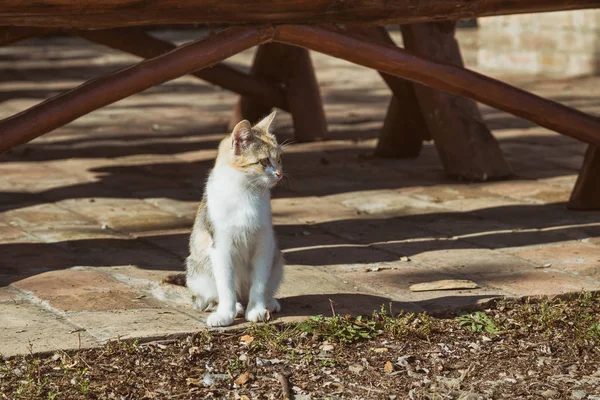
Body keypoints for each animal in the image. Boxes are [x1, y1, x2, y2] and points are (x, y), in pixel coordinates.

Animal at [165, 111, 284, 326]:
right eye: (264, 162)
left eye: (279, 160)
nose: (279, 174)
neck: (246, 193)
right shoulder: (220, 246)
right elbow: (226, 285)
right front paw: (226, 314)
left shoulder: (264, 243)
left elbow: (259, 282)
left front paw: (257, 308)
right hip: (198, 269)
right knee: (207, 299)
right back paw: (232, 306)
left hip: (277, 259)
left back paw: (267, 302)